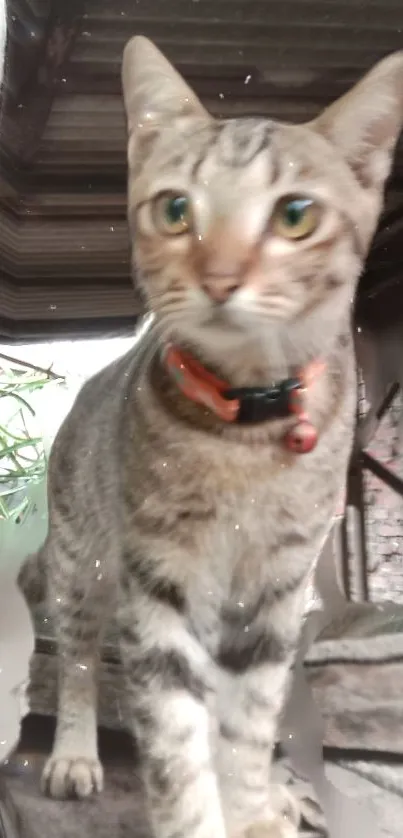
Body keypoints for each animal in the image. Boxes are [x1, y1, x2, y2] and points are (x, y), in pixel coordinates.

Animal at [19, 37, 403, 838]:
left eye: (295, 215)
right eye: (175, 210)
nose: (220, 277)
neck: (246, 440)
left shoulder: (275, 592)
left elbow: (246, 727)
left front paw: (255, 804)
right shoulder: (160, 582)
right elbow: (175, 741)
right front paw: (198, 814)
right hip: (80, 563)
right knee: (77, 658)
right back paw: (73, 751)